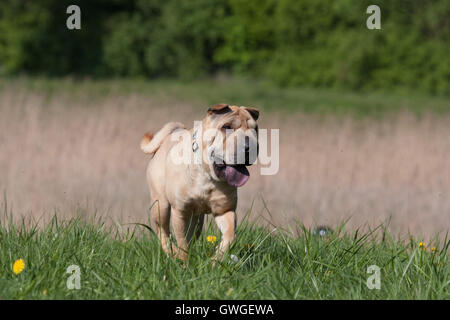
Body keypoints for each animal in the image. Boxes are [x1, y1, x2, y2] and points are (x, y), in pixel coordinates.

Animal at [141, 104, 260, 262]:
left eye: (255, 129)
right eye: (227, 127)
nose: (250, 146)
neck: (206, 174)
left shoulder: (225, 210)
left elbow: (229, 236)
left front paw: (216, 259)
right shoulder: (180, 211)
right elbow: (182, 241)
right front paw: (184, 262)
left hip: (197, 218)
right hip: (160, 205)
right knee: (163, 232)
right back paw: (171, 253)